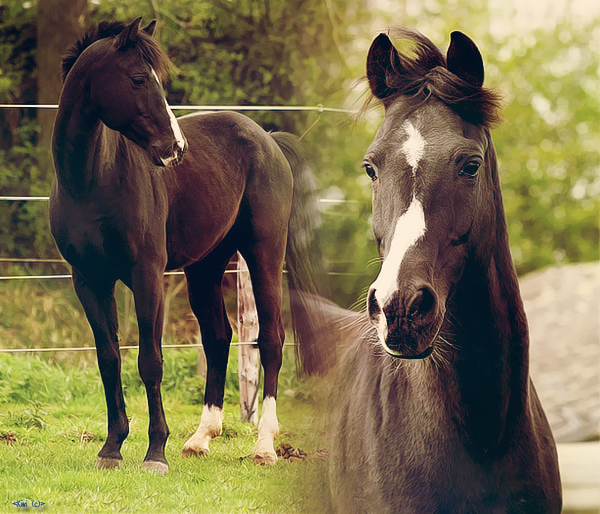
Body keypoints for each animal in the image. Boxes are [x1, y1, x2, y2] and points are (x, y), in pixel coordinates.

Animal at [49, 17, 330, 472]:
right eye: (138, 78)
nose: (175, 149)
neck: (93, 180)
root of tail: (268, 139)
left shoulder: (146, 275)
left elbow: (150, 361)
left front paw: (155, 453)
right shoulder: (88, 279)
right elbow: (109, 359)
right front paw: (111, 448)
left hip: (265, 255)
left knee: (271, 338)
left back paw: (264, 446)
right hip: (205, 267)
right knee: (218, 336)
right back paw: (201, 438)